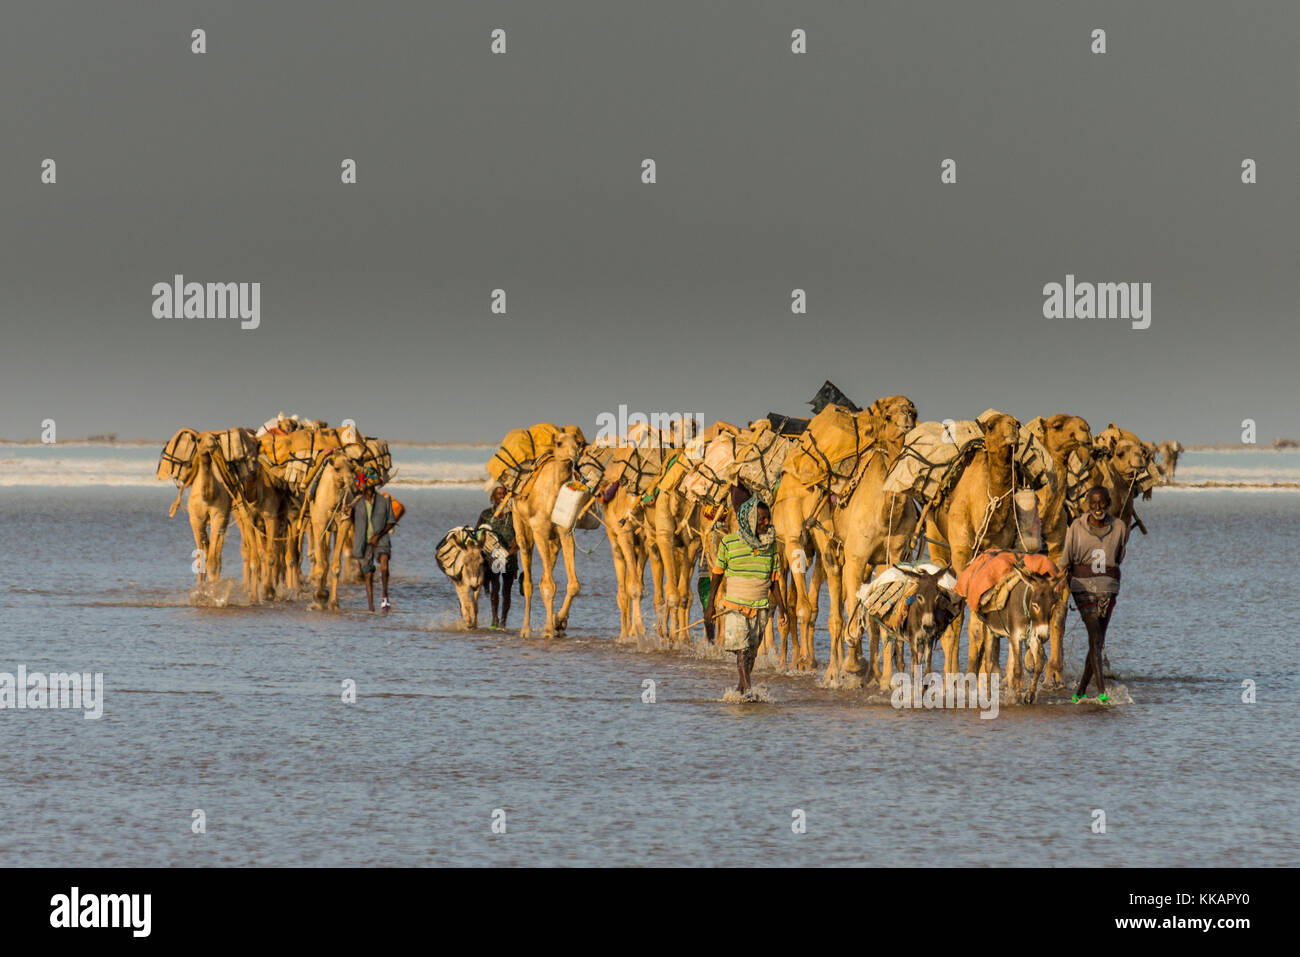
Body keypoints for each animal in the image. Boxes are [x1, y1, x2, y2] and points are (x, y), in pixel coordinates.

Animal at [509, 429, 587, 639]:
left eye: (578, 442)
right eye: (559, 443)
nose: (575, 454)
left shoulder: (565, 533)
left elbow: (573, 585)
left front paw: (558, 622)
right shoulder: (539, 530)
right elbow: (548, 585)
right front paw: (549, 630)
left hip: (554, 542)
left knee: (544, 577)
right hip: (522, 528)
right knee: (528, 581)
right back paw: (525, 630)